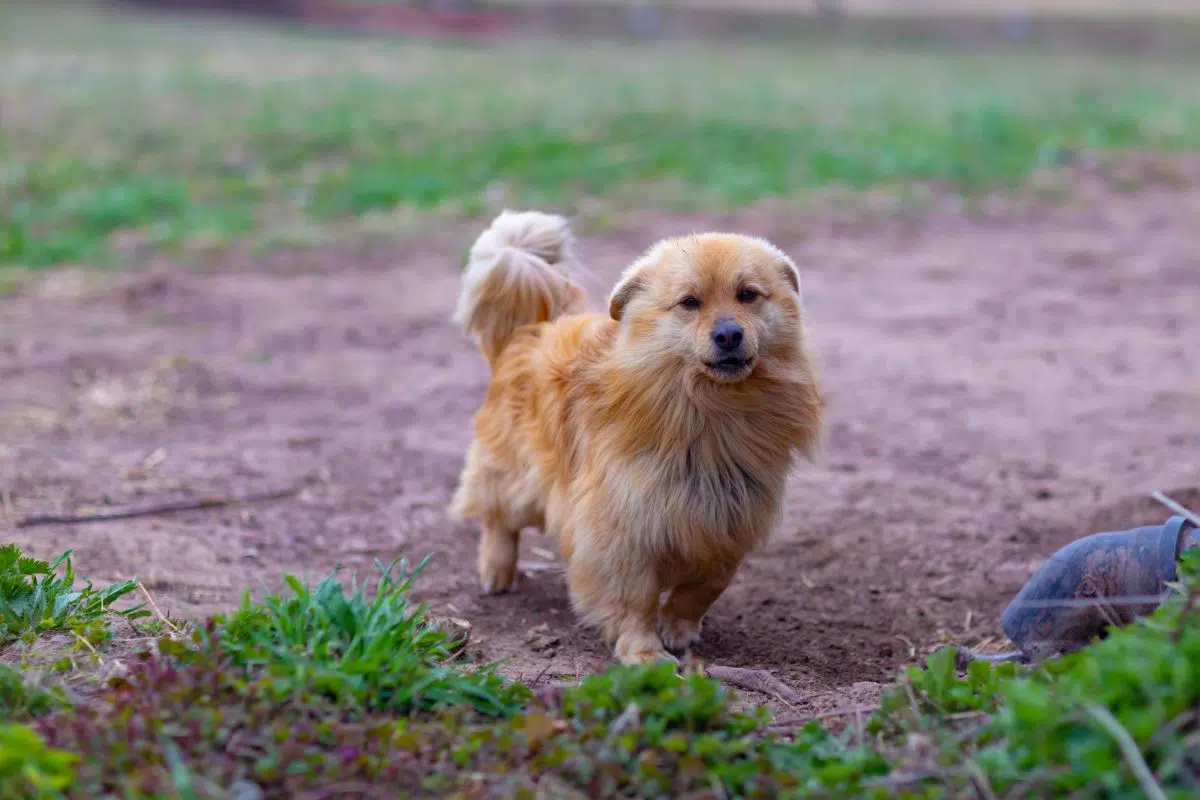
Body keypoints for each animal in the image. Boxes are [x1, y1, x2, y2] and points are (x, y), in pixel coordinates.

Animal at [451, 209, 825, 666]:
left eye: (748, 295)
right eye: (689, 303)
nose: (728, 334)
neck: (710, 412)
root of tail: (529, 331)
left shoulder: (728, 518)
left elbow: (706, 585)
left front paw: (678, 627)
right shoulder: (623, 529)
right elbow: (635, 599)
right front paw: (644, 653)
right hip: (518, 478)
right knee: (498, 519)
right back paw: (497, 572)